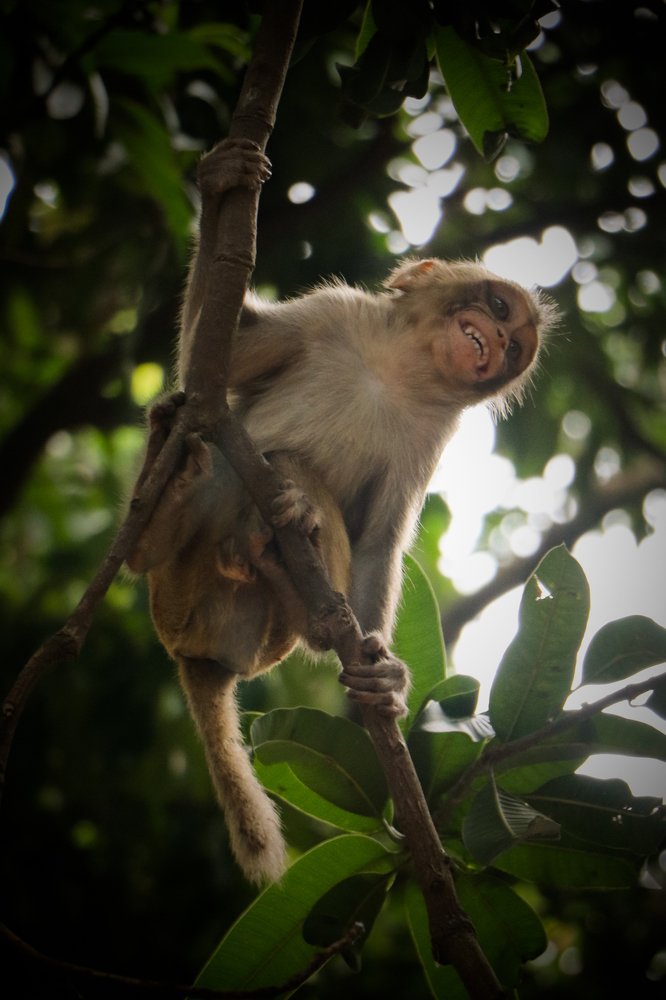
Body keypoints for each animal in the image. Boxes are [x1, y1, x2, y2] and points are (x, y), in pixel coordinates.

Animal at [129, 137, 557, 884]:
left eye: (515, 348)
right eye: (500, 308)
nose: (500, 345)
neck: (397, 369)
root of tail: (197, 655)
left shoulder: (430, 434)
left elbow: (381, 540)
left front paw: (386, 678)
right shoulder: (330, 312)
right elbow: (209, 365)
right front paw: (219, 181)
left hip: (258, 636)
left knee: (293, 479)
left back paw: (285, 563)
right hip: (173, 592)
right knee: (220, 452)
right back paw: (160, 512)